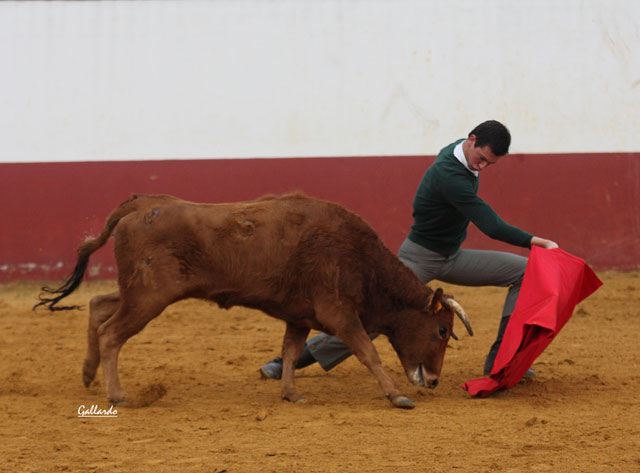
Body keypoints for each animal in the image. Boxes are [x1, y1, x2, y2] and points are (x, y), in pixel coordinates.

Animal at [37, 192, 472, 406]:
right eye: (441, 330)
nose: (434, 380)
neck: (360, 258)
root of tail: (144, 206)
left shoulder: (300, 317)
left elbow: (291, 351)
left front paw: (291, 393)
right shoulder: (340, 315)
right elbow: (369, 351)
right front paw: (397, 395)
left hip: (138, 291)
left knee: (99, 305)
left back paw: (88, 373)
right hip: (148, 297)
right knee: (112, 332)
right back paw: (116, 394)